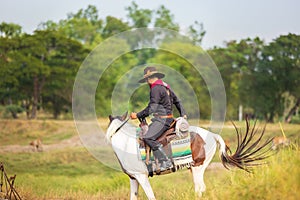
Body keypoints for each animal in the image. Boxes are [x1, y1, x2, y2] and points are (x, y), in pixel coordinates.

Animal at [106, 112, 274, 200]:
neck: (126, 143)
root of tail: (212, 135)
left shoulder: (142, 177)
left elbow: (151, 196)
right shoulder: (133, 178)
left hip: (199, 166)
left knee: (200, 188)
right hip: (194, 168)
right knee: (200, 188)